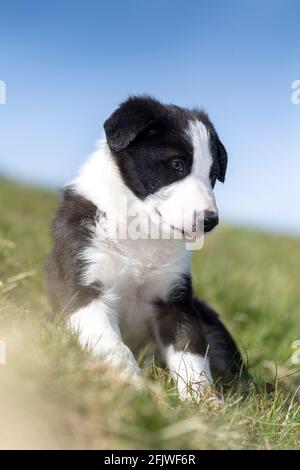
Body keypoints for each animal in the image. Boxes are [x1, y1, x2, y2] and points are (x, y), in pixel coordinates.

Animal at [46, 96, 246, 400]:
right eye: (177, 164)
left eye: (213, 175)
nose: (210, 221)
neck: (143, 228)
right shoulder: (84, 289)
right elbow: (113, 345)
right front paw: (133, 387)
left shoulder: (176, 303)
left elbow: (192, 353)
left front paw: (203, 401)